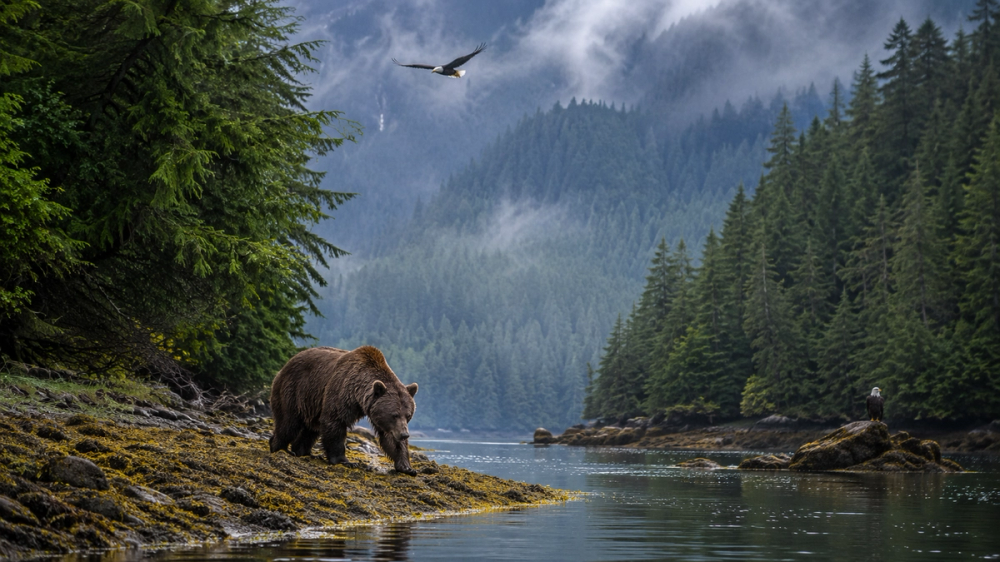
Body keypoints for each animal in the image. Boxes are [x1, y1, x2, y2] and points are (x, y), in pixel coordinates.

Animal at [269, 345, 419, 475]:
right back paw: (279, 447)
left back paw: (302, 451)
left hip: (311, 403)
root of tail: (285, 366)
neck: (358, 395)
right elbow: (334, 422)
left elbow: (390, 437)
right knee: (288, 423)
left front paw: (406, 467)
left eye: (408, 415)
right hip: (293, 390)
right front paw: (345, 461)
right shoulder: (341, 390)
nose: (405, 434)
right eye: (394, 415)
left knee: (310, 430)